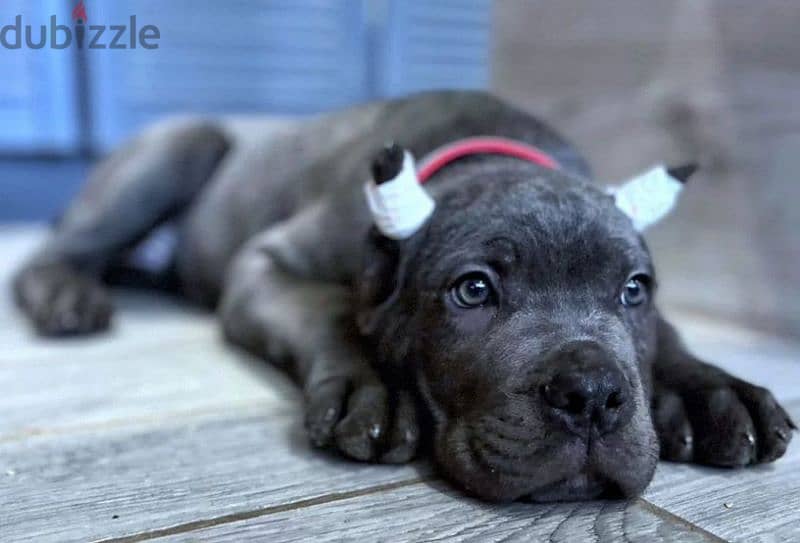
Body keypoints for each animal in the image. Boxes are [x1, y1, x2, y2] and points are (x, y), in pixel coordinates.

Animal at [12, 91, 792, 504]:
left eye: (634, 289)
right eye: (473, 290)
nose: (592, 394)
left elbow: (673, 335)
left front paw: (712, 392)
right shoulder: (264, 264)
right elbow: (328, 308)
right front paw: (376, 389)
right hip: (182, 146)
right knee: (50, 254)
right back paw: (66, 296)